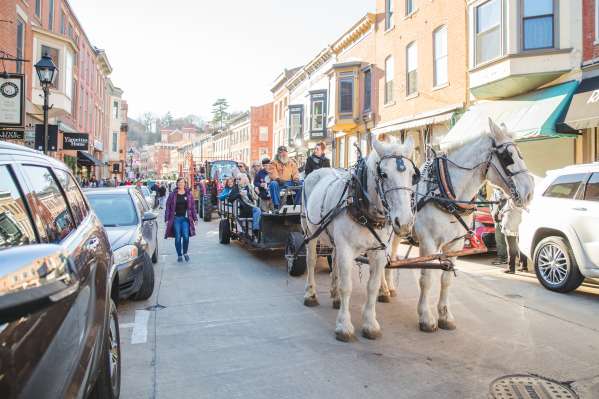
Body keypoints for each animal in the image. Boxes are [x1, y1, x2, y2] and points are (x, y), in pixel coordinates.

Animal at [302, 138, 420, 344]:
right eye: (383, 174)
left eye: (413, 175)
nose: (405, 222)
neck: (361, 207)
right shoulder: (346, 249)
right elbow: (347, 286)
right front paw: (344, 326)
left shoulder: (378, 251)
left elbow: (372, 287)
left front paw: (370, 324)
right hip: (311, 230)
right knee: (311, 260)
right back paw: (310, 294)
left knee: (334, 259)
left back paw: (334, 296)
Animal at [382, 119, 536, 332]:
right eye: (508, 156)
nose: (529, 192)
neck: (444, 193)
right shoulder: (428, 242)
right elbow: (426, 279)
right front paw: (426, 317)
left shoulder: (455, 244)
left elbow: (446, 280)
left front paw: (445, 316)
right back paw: (382, 291)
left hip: (398, 231)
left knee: (391, 256)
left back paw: (389, 288)